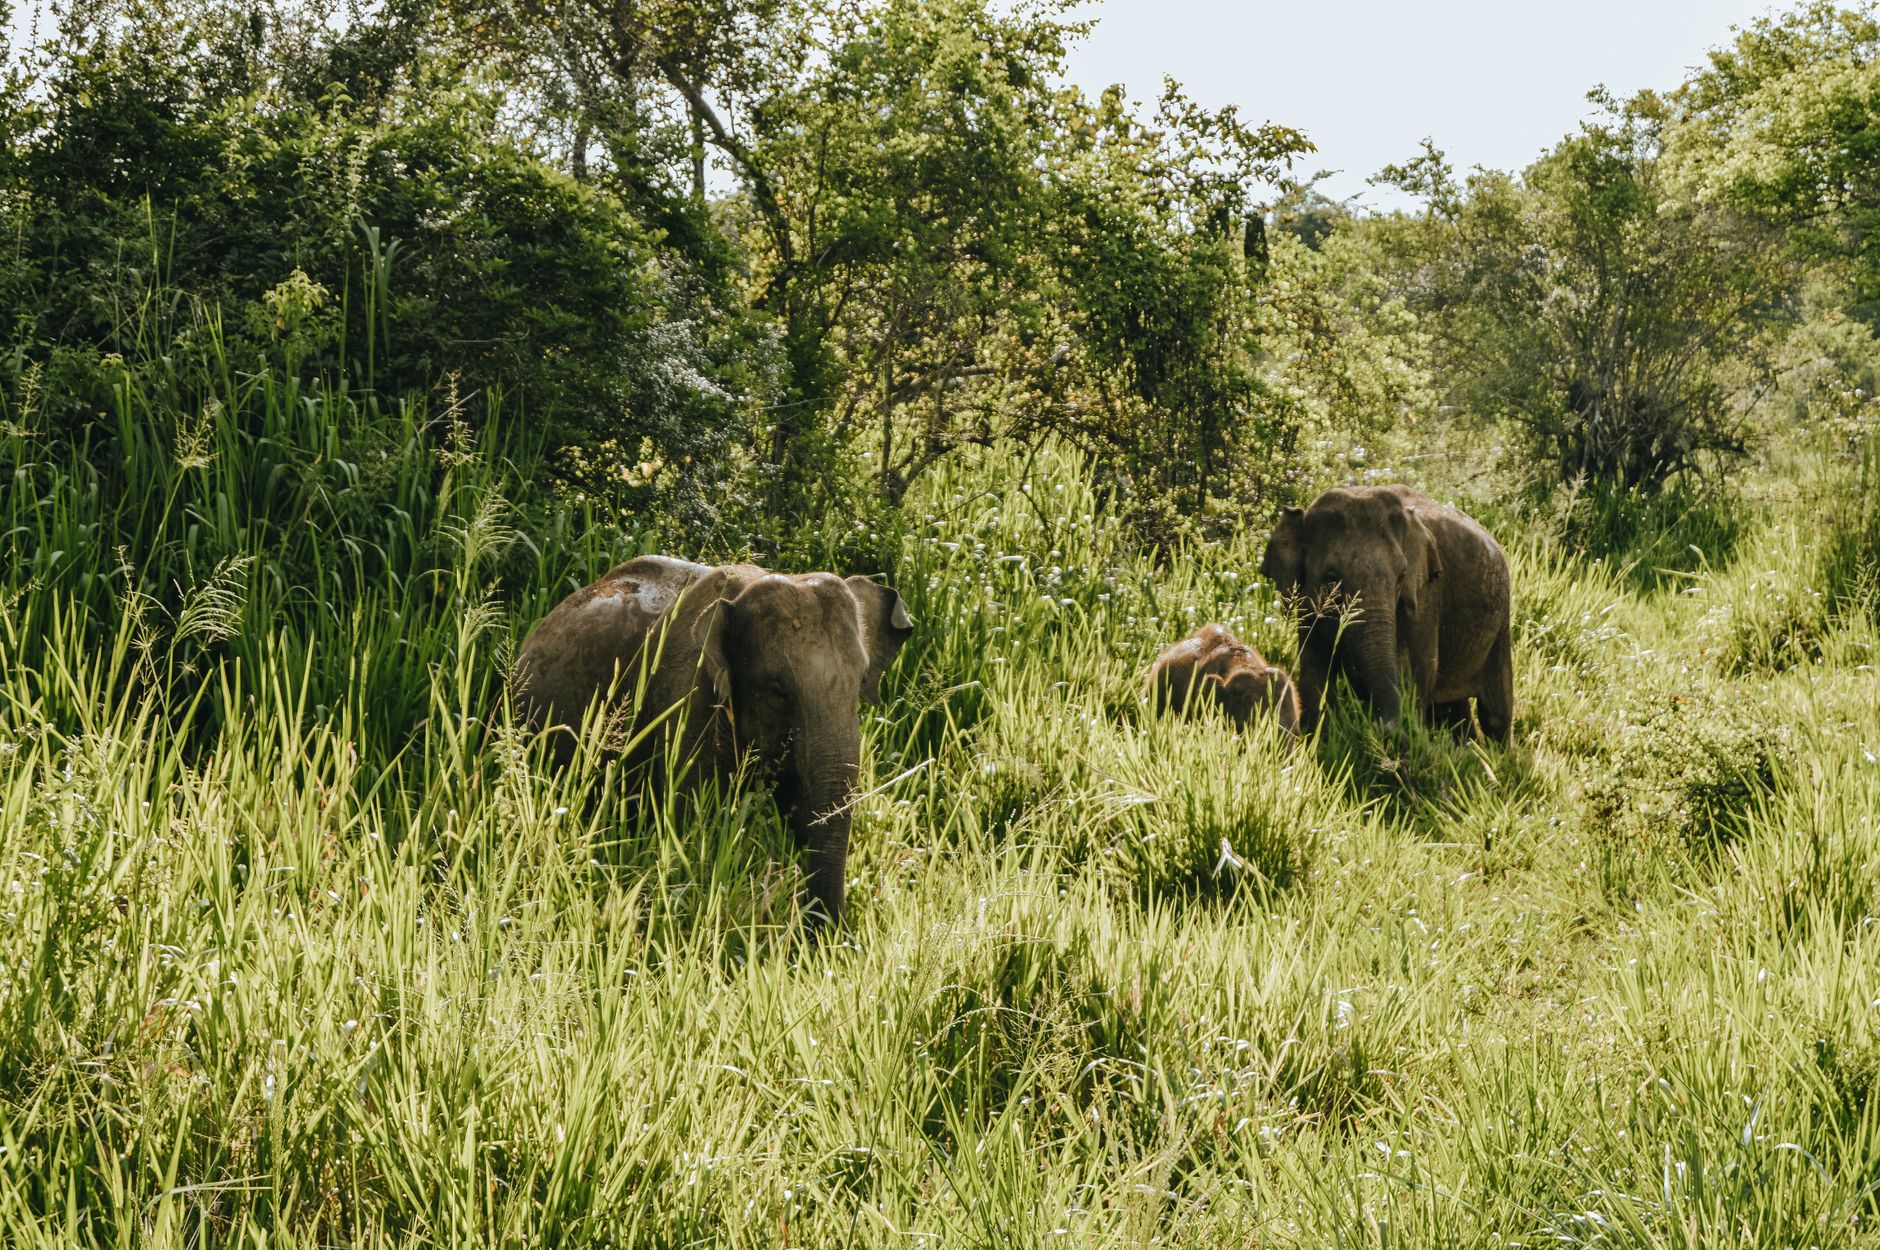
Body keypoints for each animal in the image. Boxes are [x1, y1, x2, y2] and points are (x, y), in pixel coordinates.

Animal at [1259, 485, 1512, 743]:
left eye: (1401, 576)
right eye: (1331, 578)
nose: (1381, 728)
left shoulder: (1425, 597)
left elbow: (1417, 673)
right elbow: (1314, 669)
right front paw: (1320, 740)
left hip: (1501, 623)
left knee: (1495, 714)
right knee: (1453, 709)